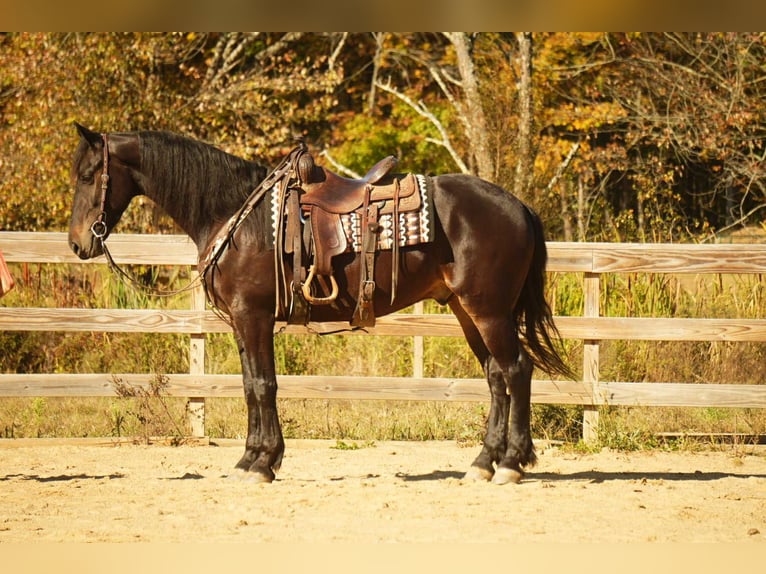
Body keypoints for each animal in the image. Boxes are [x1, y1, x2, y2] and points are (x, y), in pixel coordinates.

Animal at [68, 123, 572, 485]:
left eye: (89, 175)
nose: (77, 244)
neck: (237, 214)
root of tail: (518, 206)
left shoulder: (252, 316)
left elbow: (263, 386)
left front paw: (262, 464)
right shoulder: (241, 322)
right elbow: (250, 385)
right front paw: (252, 459)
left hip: (489, 312)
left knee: (515, 371)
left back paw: (511, 463)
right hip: (468, 312)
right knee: (496, 378)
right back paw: (484, 463)